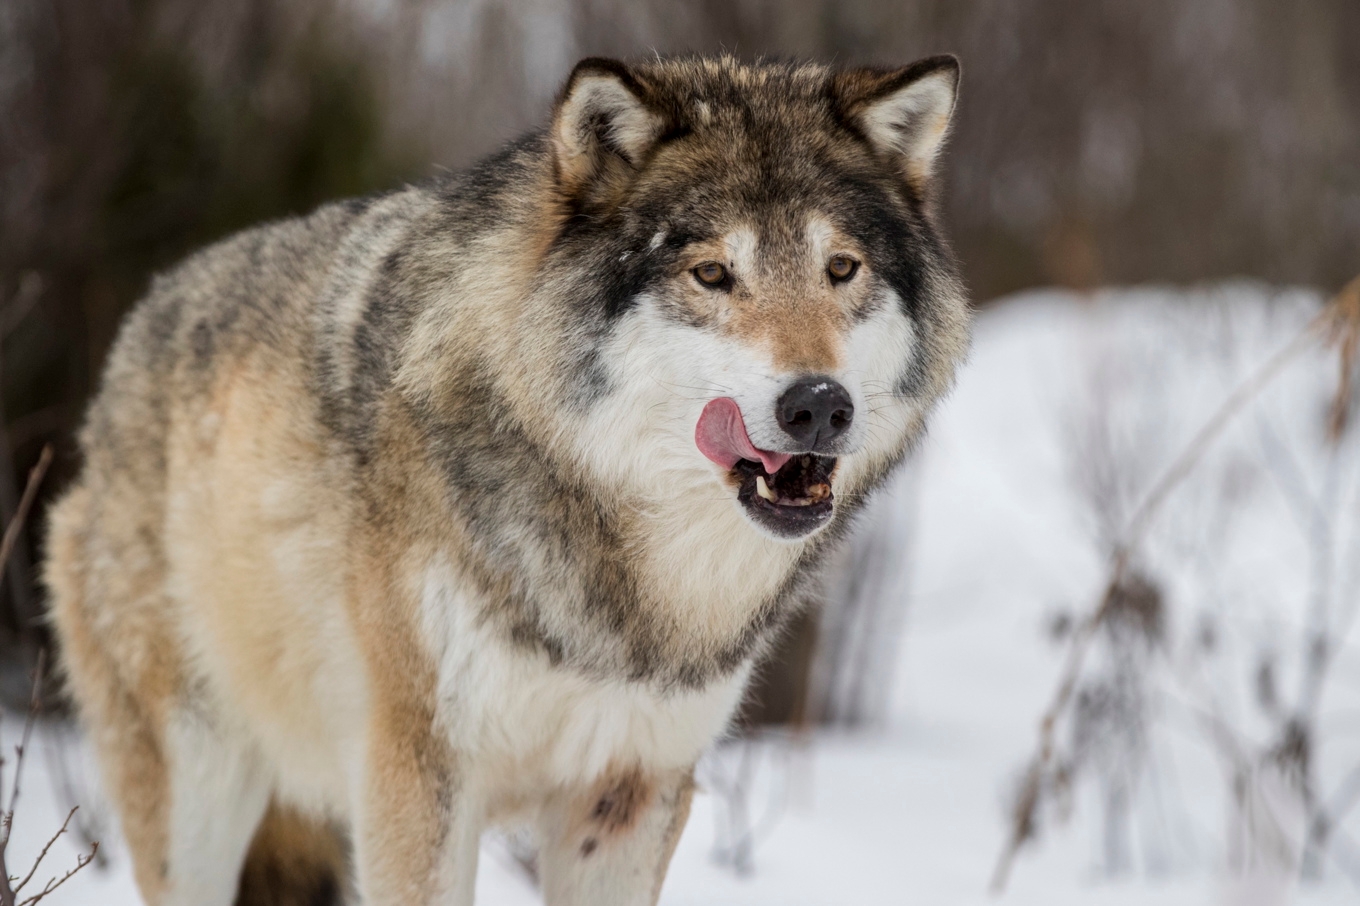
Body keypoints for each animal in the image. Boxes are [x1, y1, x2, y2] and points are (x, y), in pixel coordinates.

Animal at [45, 53, 968, 897]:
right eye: (712, 274)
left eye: (840, 269)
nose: (819, 405)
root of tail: (130, 338)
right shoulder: (418, 779)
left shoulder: (633, 792)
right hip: (200, 792)